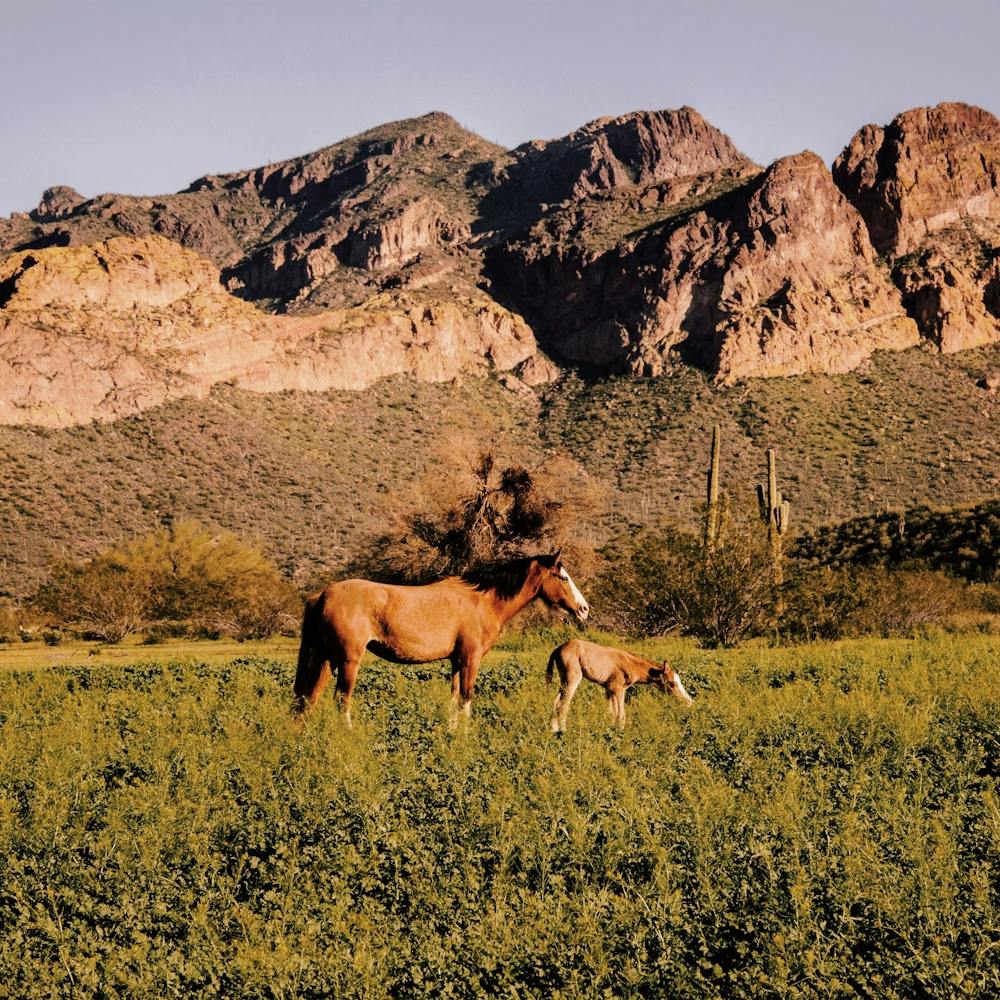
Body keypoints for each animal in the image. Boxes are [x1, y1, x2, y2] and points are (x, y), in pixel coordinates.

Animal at [294, 550, 589, 724]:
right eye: (563, 577)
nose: (583, 609)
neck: (482, 601)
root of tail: (322, 595)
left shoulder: (457, 661)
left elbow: (455, 699)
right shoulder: (471, 659)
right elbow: (467, 699)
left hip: (325, 660)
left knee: (309, 698)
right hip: (347, 661)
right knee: (341, 700)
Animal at [547, 638, 693, 732]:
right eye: (673, 683)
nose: (689, 702)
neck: (630, 664)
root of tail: (557, 649)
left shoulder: (608, 689)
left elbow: (611, 714)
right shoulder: (618, 689)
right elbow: (621, 716)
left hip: (564, 681)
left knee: (556, 702)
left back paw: (553, 730)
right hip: (573, 678)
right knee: (563, 705)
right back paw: (563, 732)